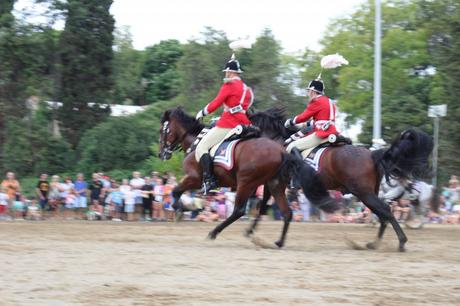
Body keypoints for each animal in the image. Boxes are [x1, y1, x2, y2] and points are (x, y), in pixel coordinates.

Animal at [159, 106, 302, 247]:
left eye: (162, 131)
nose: (161, 154)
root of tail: (281, 151)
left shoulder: (194, 178)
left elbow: (175, 191)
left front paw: (180, 209)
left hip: (246, 182)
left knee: (239, 211)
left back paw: (214, 233)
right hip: (274, 185)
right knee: (286, 212)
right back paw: (278, 242)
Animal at [246, 109, 434, 252]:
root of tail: (371, 154)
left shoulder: (273, 183)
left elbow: (265, 207)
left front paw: (252, 233)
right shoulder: (274, 184)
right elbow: (267, 207)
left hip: (364, 193)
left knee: (386, 211)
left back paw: (401, 241)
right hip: (367, 194)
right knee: (383, 214)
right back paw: (374, 243)